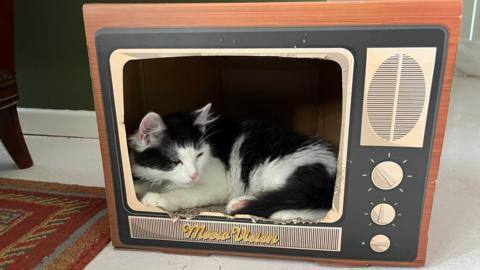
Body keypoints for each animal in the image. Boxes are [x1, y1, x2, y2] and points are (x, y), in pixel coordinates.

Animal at [129, 104, 336, 220]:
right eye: (176, 161)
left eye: (199, 155)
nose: (194, 175)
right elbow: (145, 182)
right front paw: (139, 187)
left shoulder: (218, 185)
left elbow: (185, 193)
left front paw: (159, 199)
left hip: (281, 169)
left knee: (314, 203)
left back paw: (281, 213)